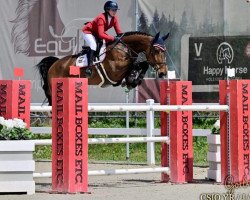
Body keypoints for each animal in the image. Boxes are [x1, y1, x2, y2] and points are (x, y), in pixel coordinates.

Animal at [35, 31, 170, 104]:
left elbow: (142, 64)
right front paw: (131, 79)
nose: (163, 73)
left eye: (165, 51)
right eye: (156, 50)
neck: (124, 48)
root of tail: (54, 64)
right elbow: (136, 64)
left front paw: (133, 80)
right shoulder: (115, 71)